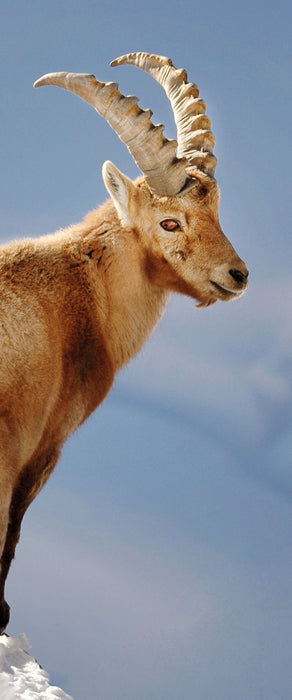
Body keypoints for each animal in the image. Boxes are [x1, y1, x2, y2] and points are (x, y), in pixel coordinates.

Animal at [0, 50, 249, 628]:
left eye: (215, 211)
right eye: (169, 222)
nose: (237, 276)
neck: (84, 288)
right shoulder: (43, 443)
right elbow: (13, 536)